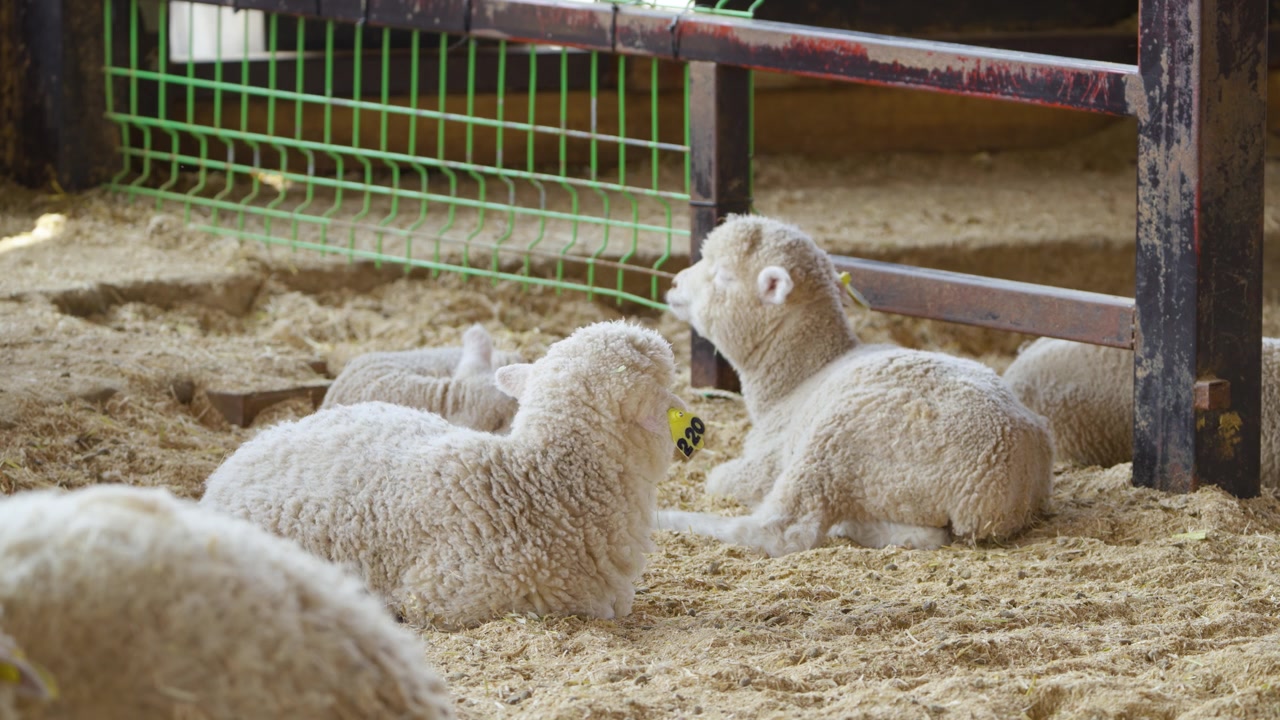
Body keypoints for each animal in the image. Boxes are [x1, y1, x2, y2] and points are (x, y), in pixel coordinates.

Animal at [655, 214, 1054, 557]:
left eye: (723, 276)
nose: (672, 284)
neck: (797, 379)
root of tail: (991, 491)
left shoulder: (765, 463)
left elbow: (718, 479)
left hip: (838, 444)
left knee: (783, 530)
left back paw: (668, 517)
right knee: (923, 534)